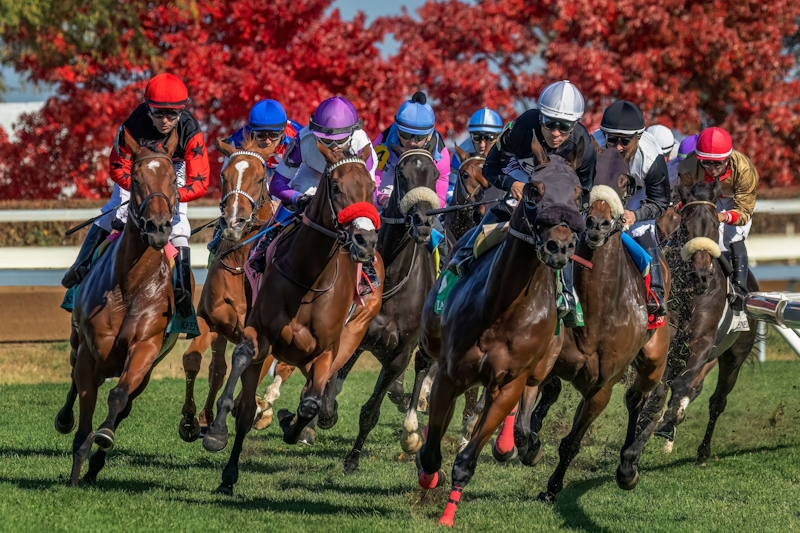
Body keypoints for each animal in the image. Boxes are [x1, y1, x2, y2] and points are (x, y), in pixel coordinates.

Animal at [55, 130, 188, 486]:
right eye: (136, 177)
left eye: (173, 179)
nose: (158, 227)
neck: (130, 285)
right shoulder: (90, 353)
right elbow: (84, 407)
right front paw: (75, 474)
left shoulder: (145, 348)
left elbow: (118, 398)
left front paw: (103, 438)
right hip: (76, 342)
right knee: (72, 379)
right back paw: (65, 421)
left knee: (125, 401)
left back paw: (97, 464)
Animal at [203, 142, 384, 494]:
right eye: (336, 187)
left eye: (370, 187)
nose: (365, 241)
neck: (309, 276)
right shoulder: (258, 333)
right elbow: (240, 364)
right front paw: (216, 432)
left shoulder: (325, 351)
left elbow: (310, 402)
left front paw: (293, 425)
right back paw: (230, 472)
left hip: (348, 339)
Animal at [416, 137, 584, 524]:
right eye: (534, 191)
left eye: (579, 194)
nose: (560, 247)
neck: (504, 308)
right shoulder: (451, 373)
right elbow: (432, 450)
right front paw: (428, 477)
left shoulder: (509, 382)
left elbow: (468, 459)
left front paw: (448, 514)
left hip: (540, 364)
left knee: (528, 400)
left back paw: (520, 443)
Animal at [510, 148, 672, 500]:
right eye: (588, 178)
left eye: (626, 182)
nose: (596, 223)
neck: (599, 309)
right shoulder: (548, 355)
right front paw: (531, 445)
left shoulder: (601, 387)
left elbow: (572, 443)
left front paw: (553, 486)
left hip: (654, 359)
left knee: (637, 398)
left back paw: (628, 465)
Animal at [648, 178, 760, 462]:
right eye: (685, 226)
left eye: (713, 226)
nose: (701, 275)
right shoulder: (670, 340)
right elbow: (661, 387)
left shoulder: (701, 343)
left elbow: (683, 385)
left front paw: (668, 422)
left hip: (734, 356)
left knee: (717, 401)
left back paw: (702, 450)